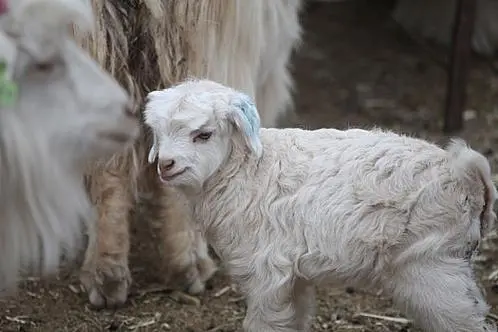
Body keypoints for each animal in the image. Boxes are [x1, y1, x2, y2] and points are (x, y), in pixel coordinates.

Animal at [146, 80, 498, 332]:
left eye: (204, 135)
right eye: (158, 133)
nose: (166, 164)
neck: (249, 169)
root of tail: (467, 176)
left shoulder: (267, 273)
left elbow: (264, 323)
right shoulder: (292, 276)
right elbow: (295, 319)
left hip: (431, 267)